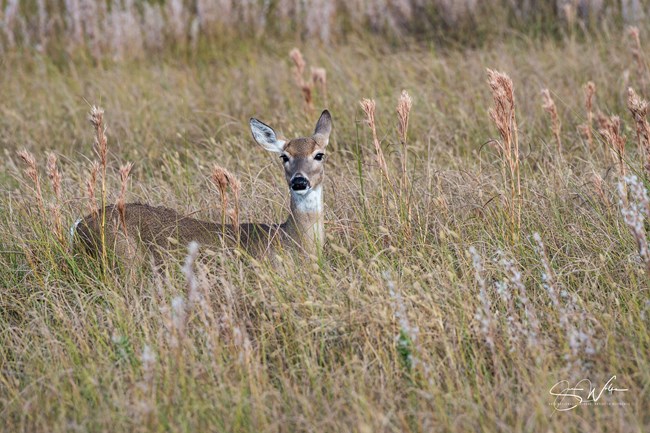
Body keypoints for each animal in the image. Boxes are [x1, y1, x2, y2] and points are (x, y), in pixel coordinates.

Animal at [73, 109, 332, 264]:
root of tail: (80, 225)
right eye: (284, 156)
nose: (299, 181)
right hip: (125, 261)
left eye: (319, 155)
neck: (293, 242)